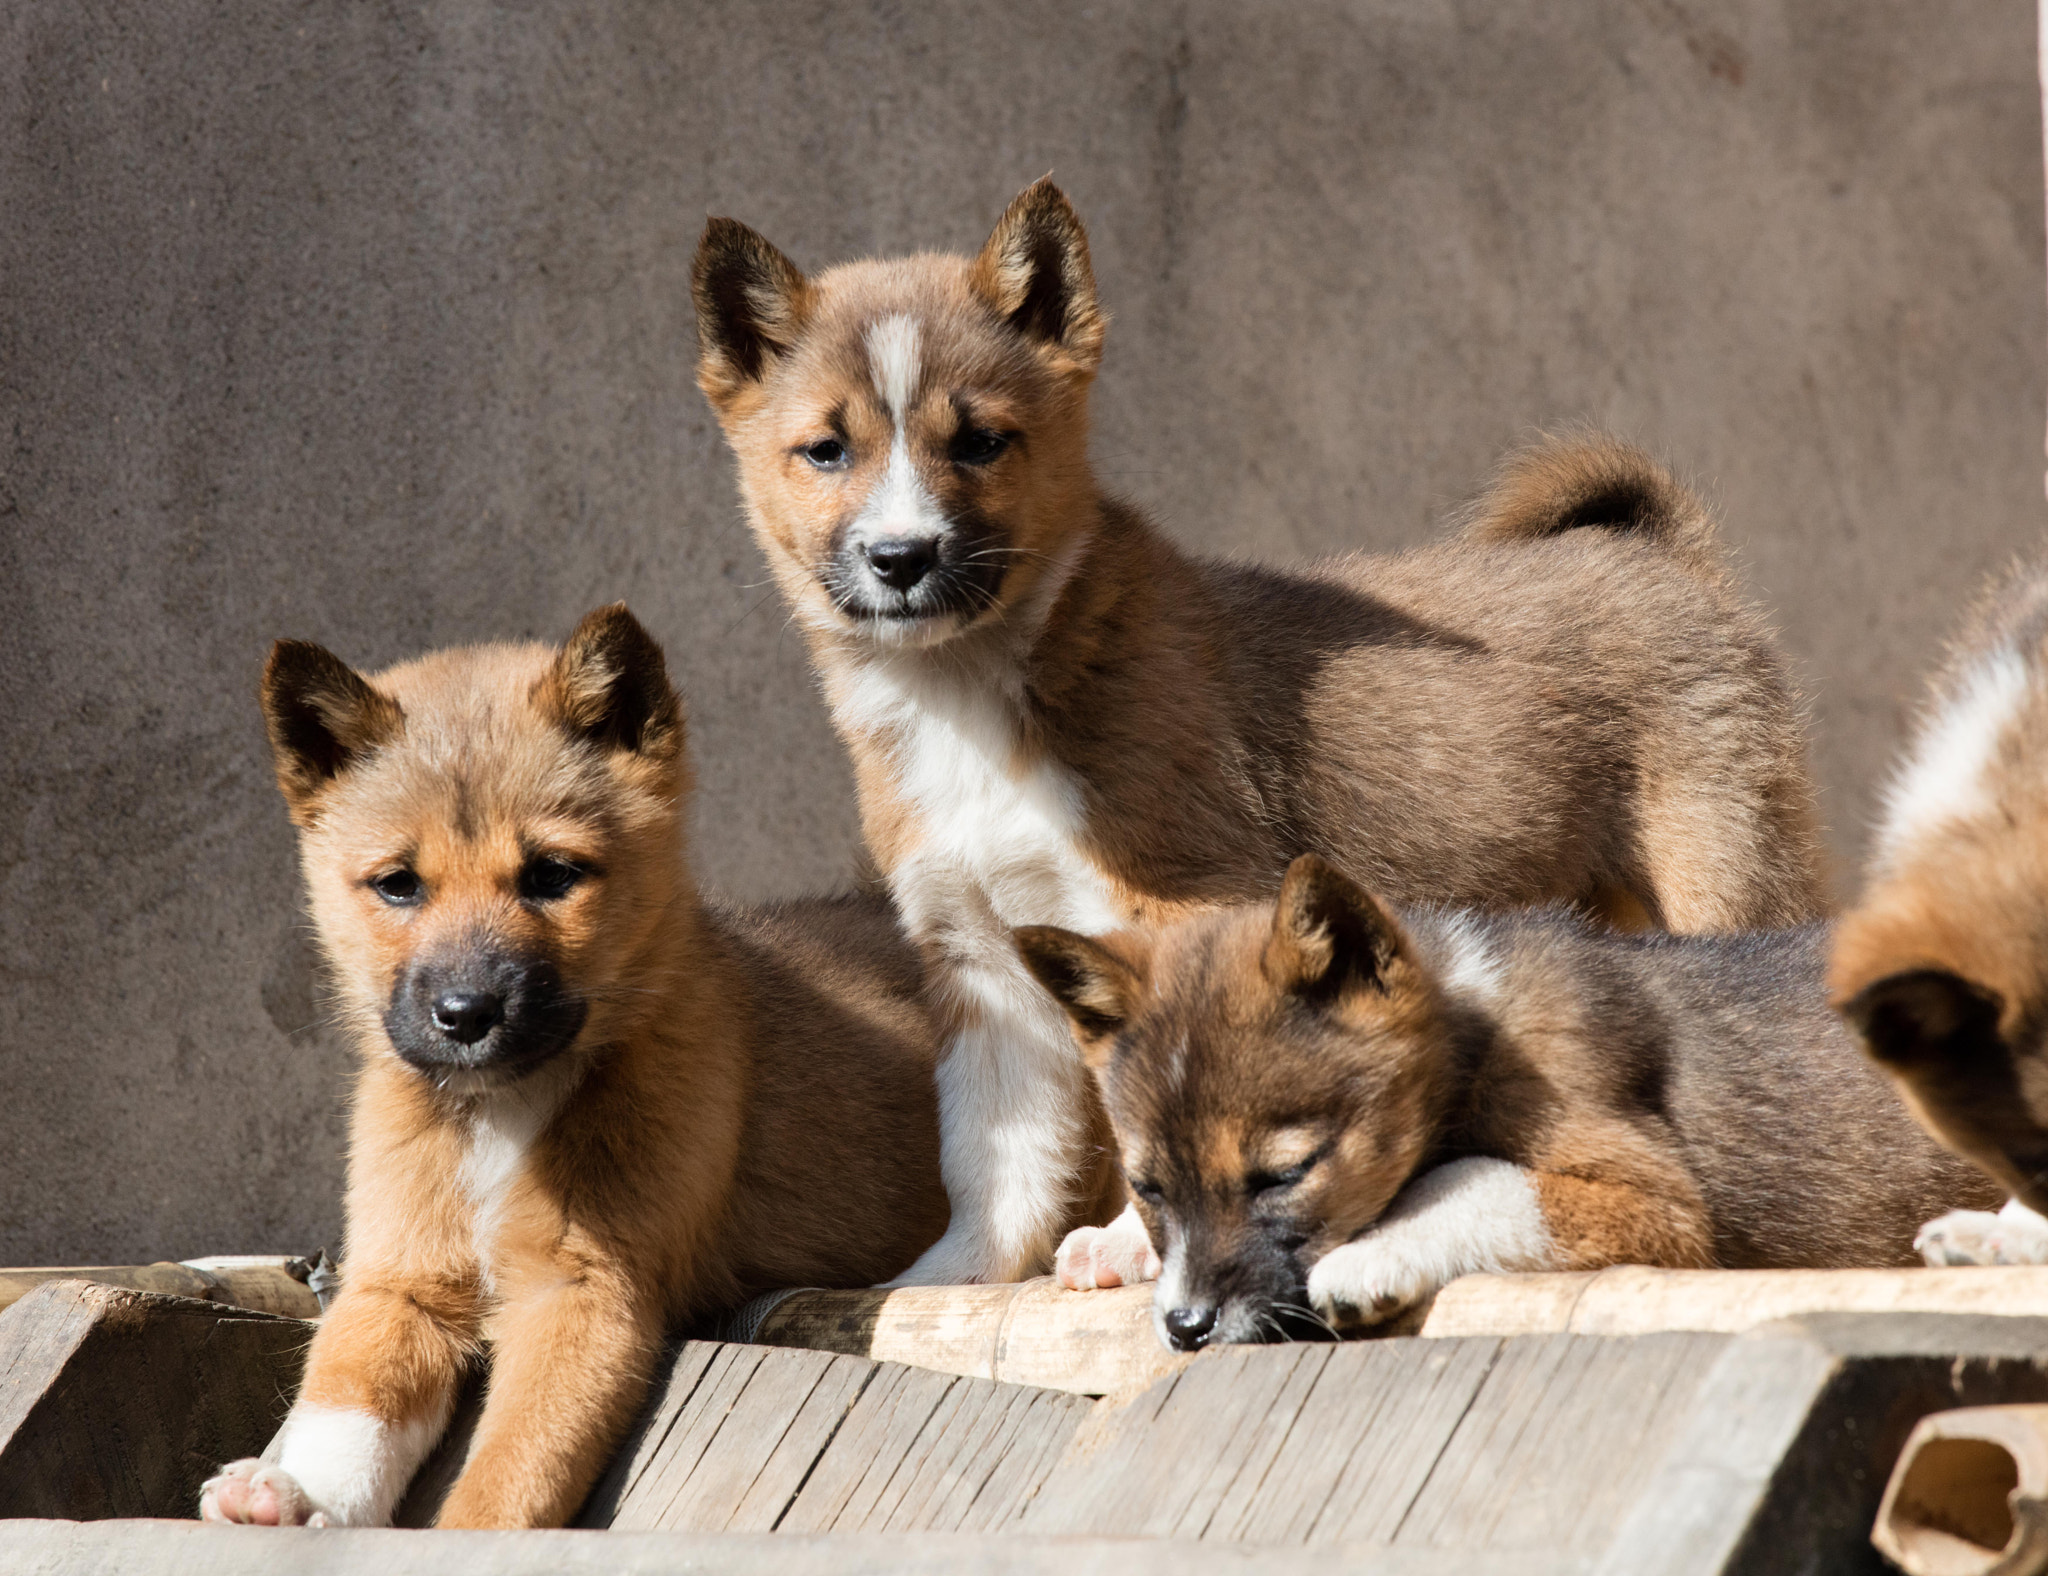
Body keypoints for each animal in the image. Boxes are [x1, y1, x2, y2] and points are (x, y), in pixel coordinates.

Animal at [192, 601, 942, 1522]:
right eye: (399, 884)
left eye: (551, 875)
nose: (466, 1015)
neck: (503, 1111)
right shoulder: (398, 1283)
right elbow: (347, 1411)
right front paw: (296, 1496)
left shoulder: (583, 1296)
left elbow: (507, 1475)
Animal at [688, 181, 1826, 1293]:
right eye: (825, 450)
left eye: (979, 441)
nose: (901, 557)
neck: (973, 683)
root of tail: (1668, 559)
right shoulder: (977, 963)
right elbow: (991, 1158)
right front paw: (939, 1282)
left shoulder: (1172, 908)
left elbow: (1156, 1115)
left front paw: (1131, 1245)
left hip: (1726, 876)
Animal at [1015, 851, 1990, 1342]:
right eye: (1148, 1188)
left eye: (1282, 1176)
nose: (1184, 1326)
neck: (1475, 1026)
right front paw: (1113, 1244)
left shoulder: (1654, 1203)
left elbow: (1469, 1174)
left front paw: (1372, 1258)